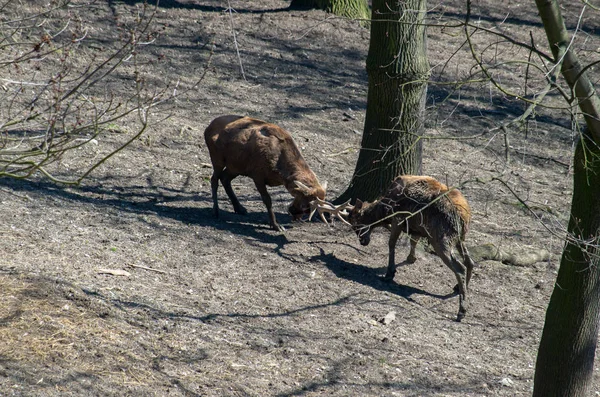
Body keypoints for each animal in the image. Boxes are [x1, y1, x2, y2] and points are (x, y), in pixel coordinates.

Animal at [316, 175, 476, 320]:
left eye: (356, 223)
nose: (362, 241)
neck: (384, 209)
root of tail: (465, 215)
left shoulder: (398, 218)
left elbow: (391, 243)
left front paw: (389, 273)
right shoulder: (416, 228)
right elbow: (413, 242)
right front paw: (411, 259)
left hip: (441, 238)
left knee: (460, 267)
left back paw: (461, 310)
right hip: (460, 237)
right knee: (470, 262)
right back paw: (459, 289)